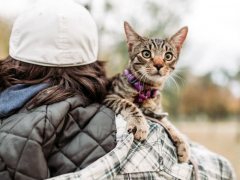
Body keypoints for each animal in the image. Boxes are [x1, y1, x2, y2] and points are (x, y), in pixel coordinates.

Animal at [104, 21, 190, 162]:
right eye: (146, 54)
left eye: (168, 56)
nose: (159, 65)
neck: (147, 90)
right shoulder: (109, 96)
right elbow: (128, 104)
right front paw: (139, 123)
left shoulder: (157, 112)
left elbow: (168, 124)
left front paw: (183, 143)